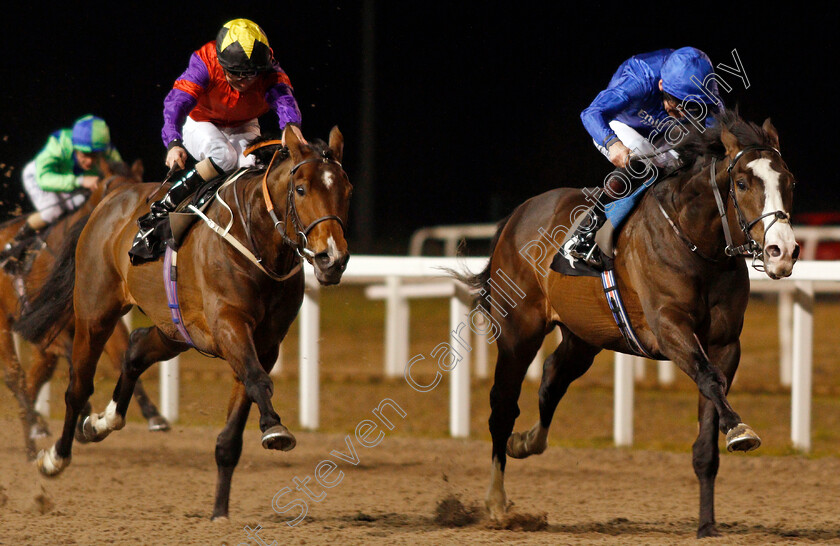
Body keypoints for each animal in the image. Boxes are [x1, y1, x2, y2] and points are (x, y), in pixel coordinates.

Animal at [16, 125, 352, 516]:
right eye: (300, 189)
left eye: (346, 190)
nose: (332, 258)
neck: (256, 239)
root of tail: (110, 198)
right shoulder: (229, 325)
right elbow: (257, 380)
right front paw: (274, 428)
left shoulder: (265, 344)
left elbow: (234, 428)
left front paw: (220, 513)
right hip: (94, 312)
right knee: (78, 387)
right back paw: (55, 457)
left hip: (173, 329)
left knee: (135, 349)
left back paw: (103, 421)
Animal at [460, 111, 800, 536]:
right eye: (741, 183)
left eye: (789, 181)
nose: (782, 252)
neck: (697, 244)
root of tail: (518, 213)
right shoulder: (669, 328)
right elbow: (708, 378)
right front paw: (741, 430)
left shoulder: (725, 344)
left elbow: (710, 416)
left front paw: (707, 524)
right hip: (518, 332)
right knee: (503, 406)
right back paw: (496, 502)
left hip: (584, 336)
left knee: (553, 379)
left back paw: (526, 443)